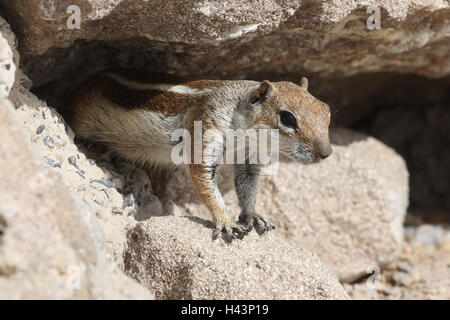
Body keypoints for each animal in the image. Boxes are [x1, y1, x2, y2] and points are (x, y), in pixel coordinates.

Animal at [63, 69, 332, 240]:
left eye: (327, 111)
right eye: (287, 118)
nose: (327, 153)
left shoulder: (249, 158)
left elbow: (247, 185)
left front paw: (252, 215)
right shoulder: (206, 130)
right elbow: (205, 181)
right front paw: (226, 221)